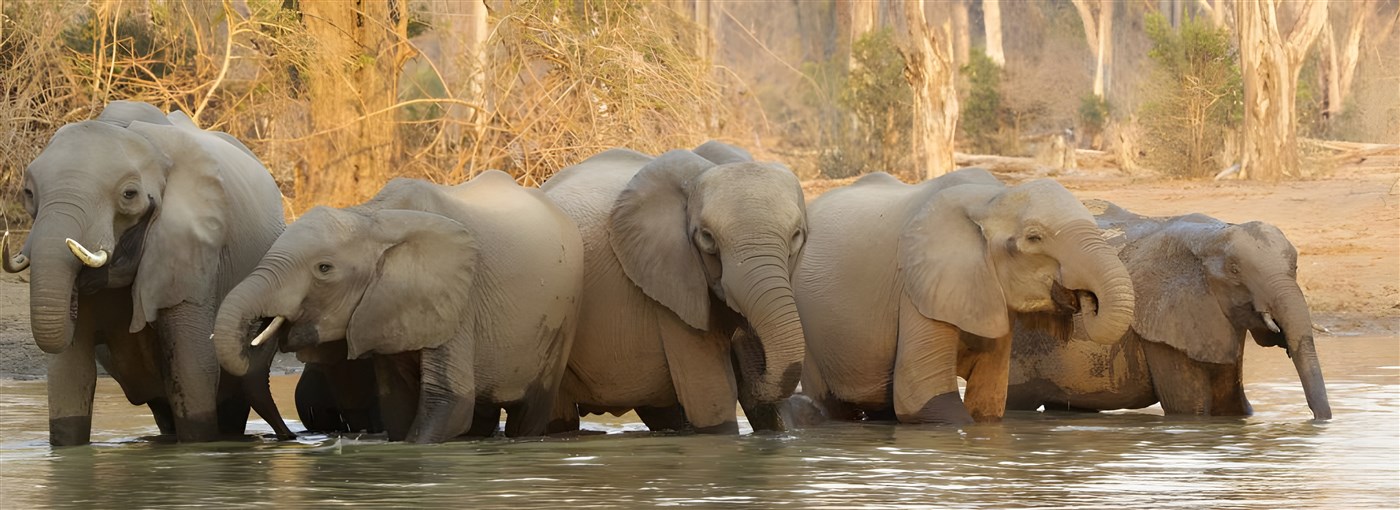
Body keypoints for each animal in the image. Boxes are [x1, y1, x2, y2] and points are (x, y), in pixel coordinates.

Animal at [3, 100, 293, 445]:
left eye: (129, 195)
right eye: (28, 193)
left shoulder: (193, 247)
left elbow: (193, 366)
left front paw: (198, 447)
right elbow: (70, 371)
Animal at [213, 171, 584, 443]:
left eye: (324, 269)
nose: (289, 437)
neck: (374, 217)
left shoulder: (457, 298)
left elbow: (449, 401)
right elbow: (396, 403)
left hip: (562, 320)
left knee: (531, 411)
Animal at [793, 169, 1136, 425]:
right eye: (1034, 238)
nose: (1085, 297)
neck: (991, 198)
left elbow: (988, 402)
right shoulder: (917, 287)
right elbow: (924, 398)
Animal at [1006, 201, 1332, 420]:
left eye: (1296, 266)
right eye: (1235, 271)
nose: (1320, 420)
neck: (1213, 234)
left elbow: (1235, 406)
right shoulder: (1164, 325)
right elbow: (1190, 409)